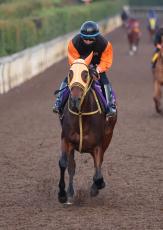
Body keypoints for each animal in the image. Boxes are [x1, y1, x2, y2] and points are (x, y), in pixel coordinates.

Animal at [57, 52, 117, 205]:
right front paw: (62, 194)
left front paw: (97, 186)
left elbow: (98, 172)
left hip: (108, 137)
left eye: (85, 74)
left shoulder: (98, 145)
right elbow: (64, 164)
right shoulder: (66, 139)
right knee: (71, 167)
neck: (81, 114)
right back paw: (70, 192)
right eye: (70, 73)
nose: (75, 99)